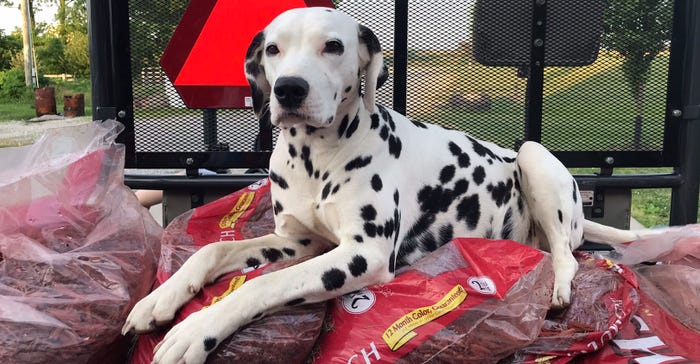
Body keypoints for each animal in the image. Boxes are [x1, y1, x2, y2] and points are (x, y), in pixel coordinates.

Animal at [121, 6, 656, 364]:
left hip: (532, 156)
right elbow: (211, 252)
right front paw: (159, 299)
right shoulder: (297, 242)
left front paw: (197, 330)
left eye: (333, 46)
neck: (315, 157)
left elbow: (266, 284)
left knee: (568, 253)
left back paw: (562, 288)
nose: (289, 89)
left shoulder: (362, 255)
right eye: (273, 49)